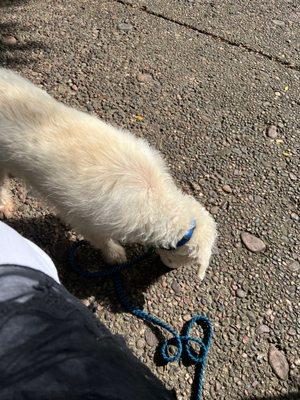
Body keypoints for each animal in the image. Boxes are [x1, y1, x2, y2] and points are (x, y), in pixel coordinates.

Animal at [0, 69, 217, 280]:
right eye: (184, 259)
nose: (167, 271)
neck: (158, 197)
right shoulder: (91, 223)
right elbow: (102, 241)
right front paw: (115, 255)